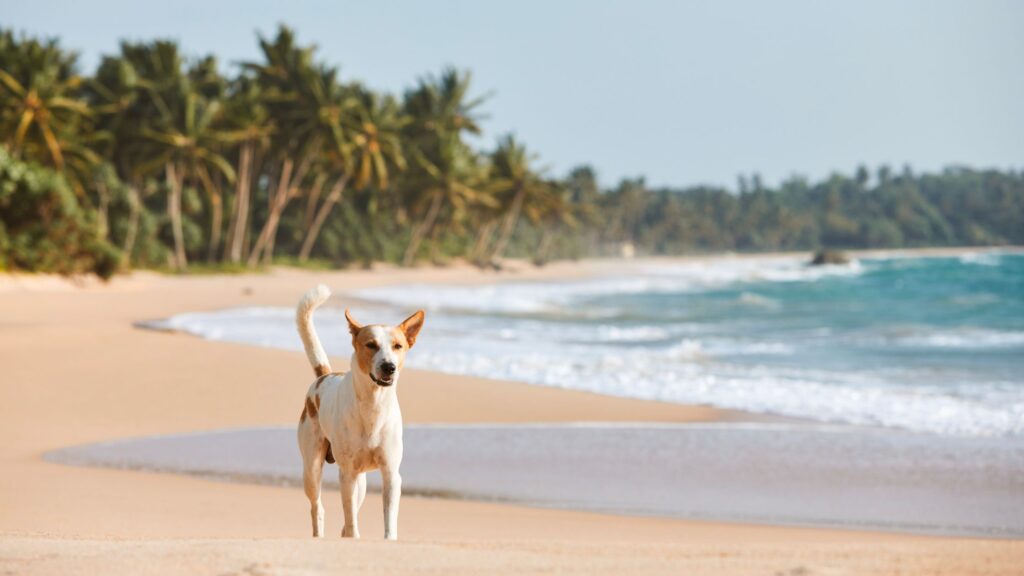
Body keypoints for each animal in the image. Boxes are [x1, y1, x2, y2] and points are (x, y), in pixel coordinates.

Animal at [294, 282, 425, 537]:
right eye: (371, 345)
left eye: (398, 346)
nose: (389, 367)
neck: (373, 406)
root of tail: (323, 376)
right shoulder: (347, 474)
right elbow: (350, 519)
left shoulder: (391, 474)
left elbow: (388, 520)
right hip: (312, 469)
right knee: (318, 507)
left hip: (361, 482)